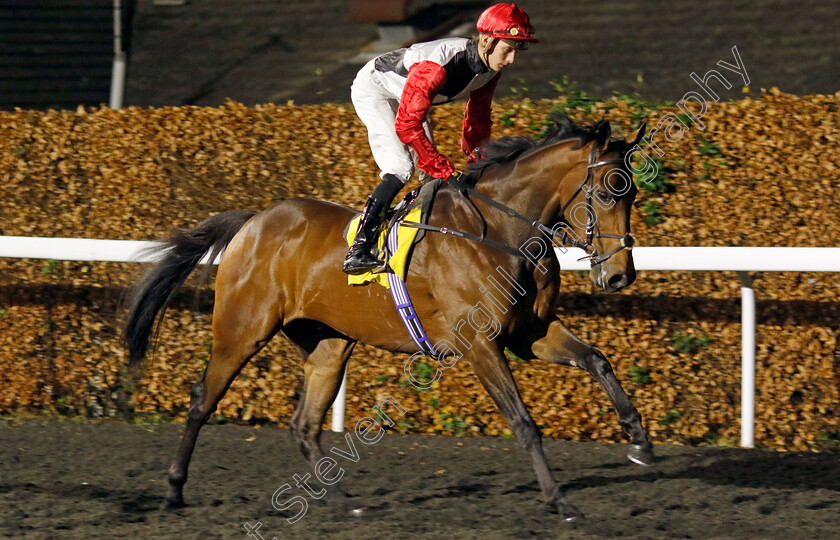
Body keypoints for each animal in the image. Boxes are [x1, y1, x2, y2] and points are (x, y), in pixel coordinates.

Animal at [121, 116, 652, 520]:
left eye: (633, 196)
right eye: (610, 191)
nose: (620, 276)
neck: (500, 231)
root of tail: (253, 222)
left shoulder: (530, 333)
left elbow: (598, 360)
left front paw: (640, 441)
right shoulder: (480, 343)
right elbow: (523, 422)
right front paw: (560, 499)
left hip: (329, 344)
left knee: (304, 424)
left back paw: (340, 502)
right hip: (241, 332)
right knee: (201, 401)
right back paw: (173, 490)